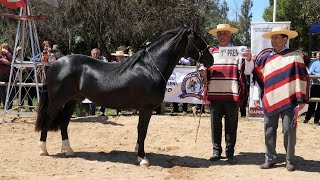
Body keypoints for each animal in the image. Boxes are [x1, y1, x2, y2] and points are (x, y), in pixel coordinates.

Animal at [34, 26, 212, 167]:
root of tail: (56, 64)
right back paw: (43, 149)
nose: (211, 60)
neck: (150, 68)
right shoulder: (146, 109)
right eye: (199, 41)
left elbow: (141, 131)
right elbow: (142, 130)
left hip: (72, 101)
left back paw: (69, 151)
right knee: (48, 119)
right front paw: (142, 158)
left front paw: (138, 152)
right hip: (57, 102)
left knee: (64, 123)